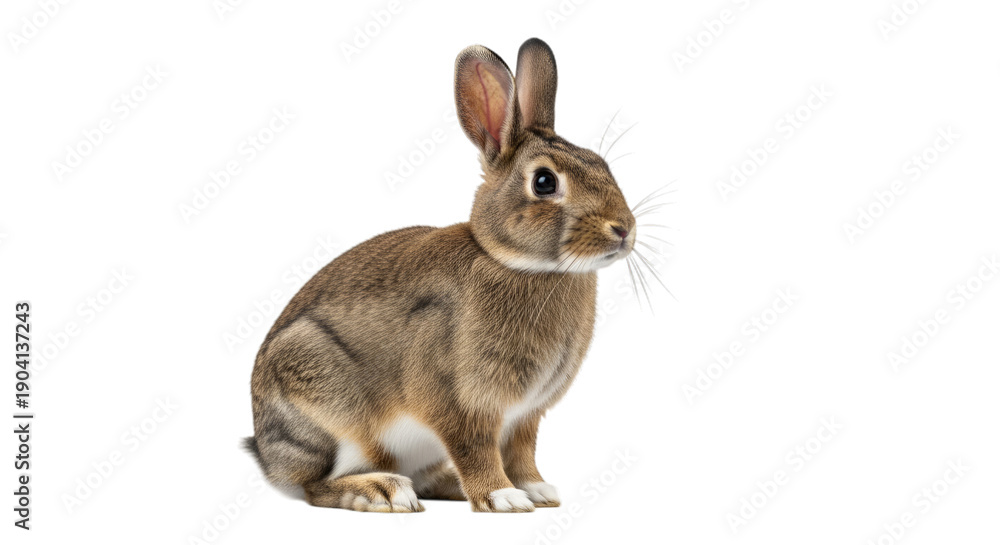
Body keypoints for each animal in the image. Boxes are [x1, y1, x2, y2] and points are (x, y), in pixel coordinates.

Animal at [245, 37, 636, 513]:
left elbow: (522, 452)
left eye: (601, 163)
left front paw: (537, 489)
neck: (512, 260)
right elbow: (475, 448)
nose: (624, 229)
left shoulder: (525, 415)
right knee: (316, 486)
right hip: (329, 412)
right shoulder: (460, 404)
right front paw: (504, 497)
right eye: (544, 182)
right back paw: (385, 491)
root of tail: (267, 455)